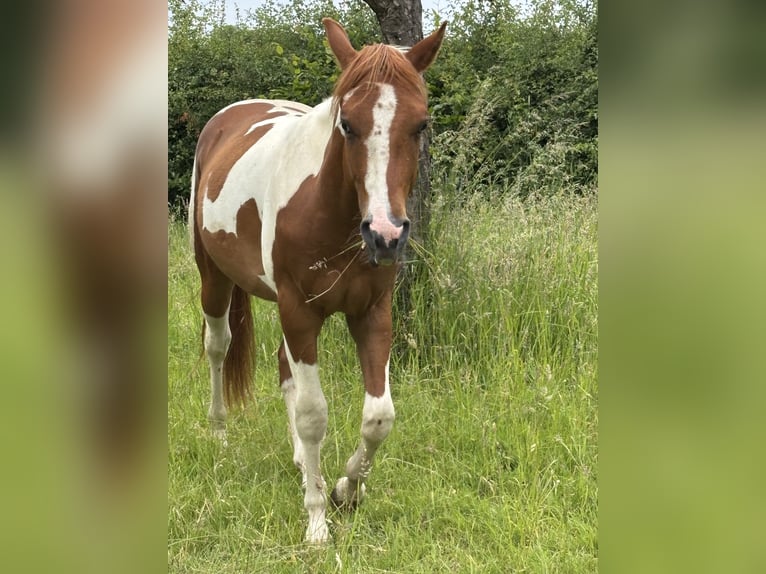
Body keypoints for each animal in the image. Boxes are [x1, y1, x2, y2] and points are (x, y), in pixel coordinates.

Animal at [189, 18, 446, 544]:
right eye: (347, 124)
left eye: (421, 125)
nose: (386, 235)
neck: (329, 213)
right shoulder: (300, 312)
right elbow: (313, 416)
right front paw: (316, 521)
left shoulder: (372, 314)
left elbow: (378, 416)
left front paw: (347, 490)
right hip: (215, 280)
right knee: (218, 348)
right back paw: (220, 433)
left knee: (284, 369)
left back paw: (300, 464)